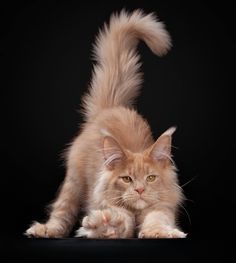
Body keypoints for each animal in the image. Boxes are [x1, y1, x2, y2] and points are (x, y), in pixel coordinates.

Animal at [24, 8, 186, 239]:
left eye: (151, 178)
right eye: (126, 179)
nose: (140, 190)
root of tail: (111, 107)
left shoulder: (162, 208)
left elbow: (156, 220)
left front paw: (162, 232)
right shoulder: (110, 204)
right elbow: (119, 221)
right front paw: (105, 224)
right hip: (73, 183)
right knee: (61, 213)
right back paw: (45, 229)